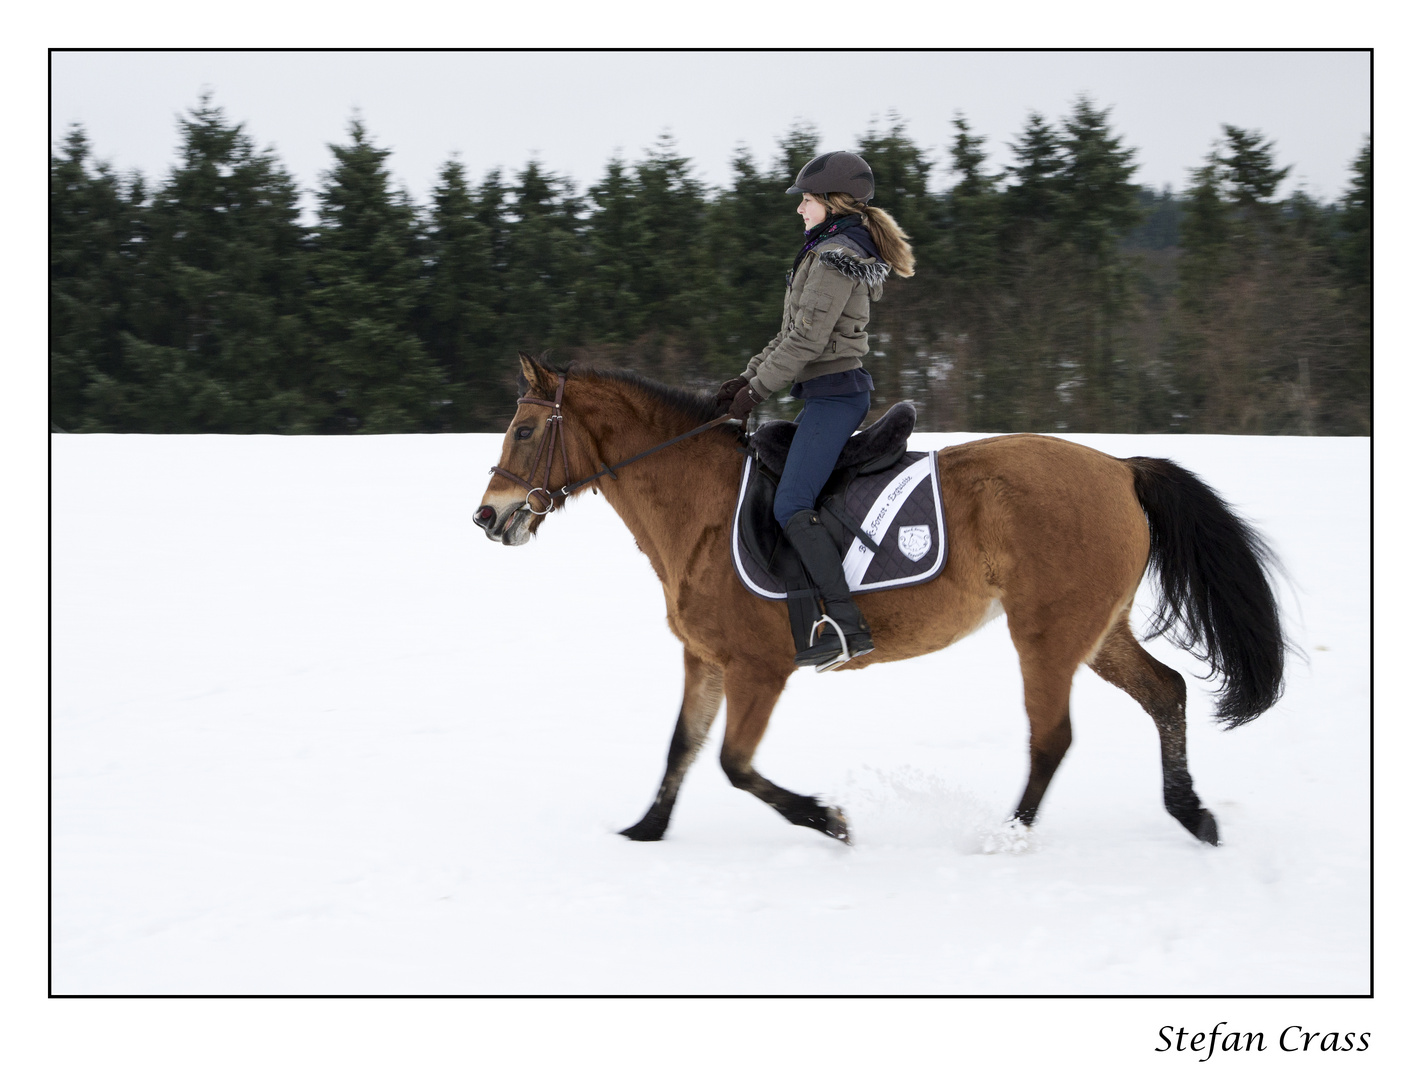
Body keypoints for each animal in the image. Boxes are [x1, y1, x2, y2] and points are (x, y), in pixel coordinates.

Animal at [477, 354, 1291, 842]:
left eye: (526, 430)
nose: (488, 516)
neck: (701, 509)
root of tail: (1121, 467)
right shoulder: (704, 659)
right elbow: (683, 746)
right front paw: (644, 832)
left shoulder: (758, 669)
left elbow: (734, 763)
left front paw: (827, 819)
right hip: (1097, 629)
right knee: (1166, 692)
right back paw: (1191, 814)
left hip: (1047, 634)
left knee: (1053, 737)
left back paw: (1007, 837)